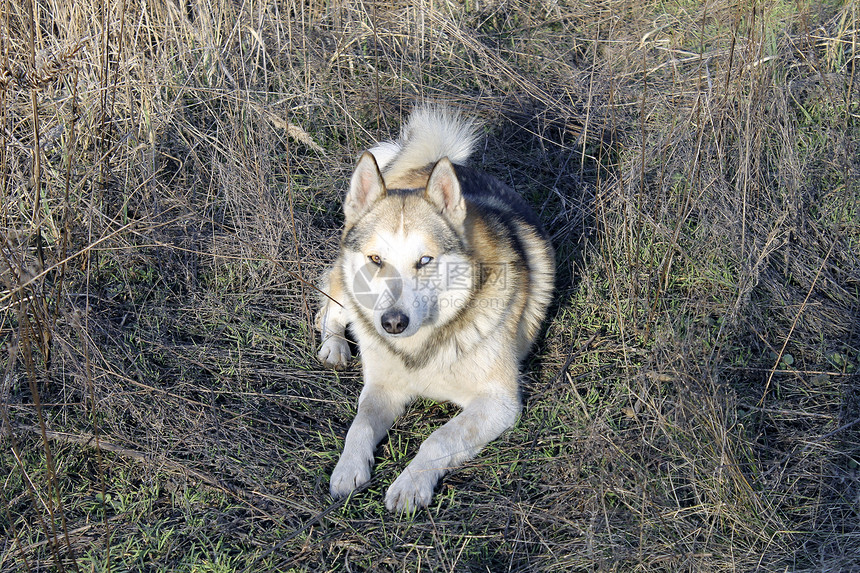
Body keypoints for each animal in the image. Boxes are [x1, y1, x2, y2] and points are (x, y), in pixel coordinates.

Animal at [318, 105, 556, 512]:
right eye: (376, 259)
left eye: (425, 260)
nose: (392, 323)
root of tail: (427, 163)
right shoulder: (381, 386)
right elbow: (360, 424)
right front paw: (348, 469)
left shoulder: (499, 402)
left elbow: (440, 437)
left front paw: (410, 484)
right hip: (347, 293)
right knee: (330, 305)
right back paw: (334, 346)